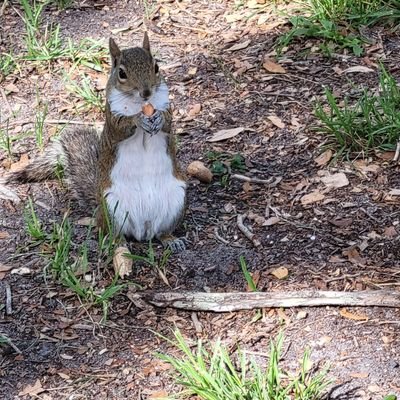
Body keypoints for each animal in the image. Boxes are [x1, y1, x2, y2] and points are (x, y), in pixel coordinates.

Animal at [5, 35, 188, 253]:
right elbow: (121, 127)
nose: (146, 92)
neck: (141, 104)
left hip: (177, 200)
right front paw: (138, 119)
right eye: (122, 73)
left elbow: (168, 122)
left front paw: (158, 118)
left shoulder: (166, 106)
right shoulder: (112, 116)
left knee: (162, 232)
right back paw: (119, 244)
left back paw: (172, 240)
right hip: (112, 207)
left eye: (156, 67)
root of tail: (143, 229)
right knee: (114, 233)